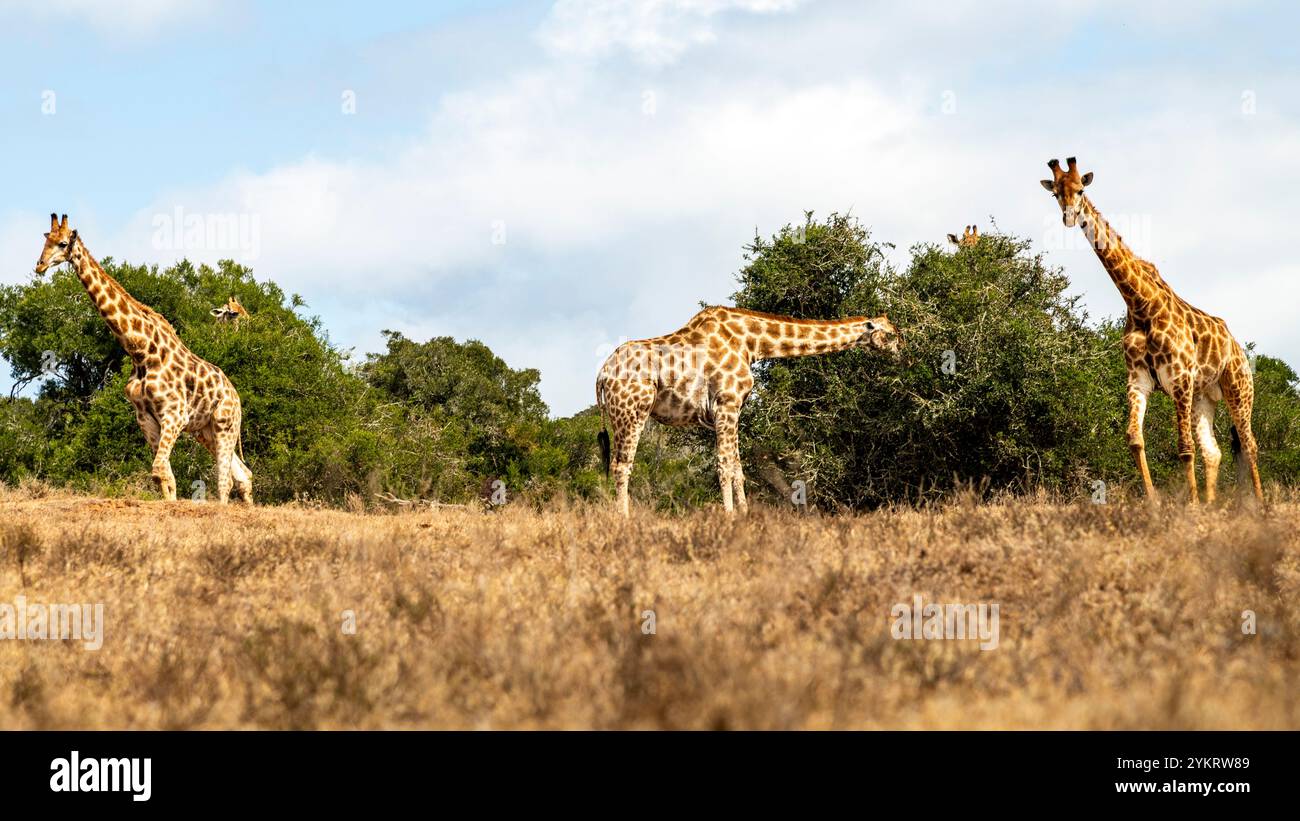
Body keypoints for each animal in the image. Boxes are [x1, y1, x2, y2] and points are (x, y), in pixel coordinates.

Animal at [34, 214, 253, 504]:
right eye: (45, 239)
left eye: (61, 243)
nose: (39, 265)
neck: (141, 352)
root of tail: (237, 397)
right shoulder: (145, 417)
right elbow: (165, 476)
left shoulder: (174, 415)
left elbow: (160, 470)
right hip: (205, 430)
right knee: (243, 474)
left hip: (224, 424)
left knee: (226, 479)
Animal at [595, 306, 902, 515]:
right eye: (892, 335)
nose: (902, 354)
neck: (752, 343)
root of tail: (601, 375)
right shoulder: (726, 403)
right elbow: (724, 466)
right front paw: (730, 516)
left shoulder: (733, 410)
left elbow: (737, 467)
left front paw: (744, 514)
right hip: (632, 410)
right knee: (621, 466)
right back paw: (624, 519)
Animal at [1041, 157, 1263, 504]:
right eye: (1056, 194)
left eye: (1080, 190)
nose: (1069, 217)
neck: (1140, 303)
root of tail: (1238, 348)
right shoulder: (1139, 380)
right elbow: (1135, 438)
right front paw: (1156, 502)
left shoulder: (1180, 380)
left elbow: (1184, 448)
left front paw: (1191, 506)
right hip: (1204, 397)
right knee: (1213, 451)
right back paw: (1213, 505)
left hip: (1238, 388)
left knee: (1249, 444)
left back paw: (1261, 505)